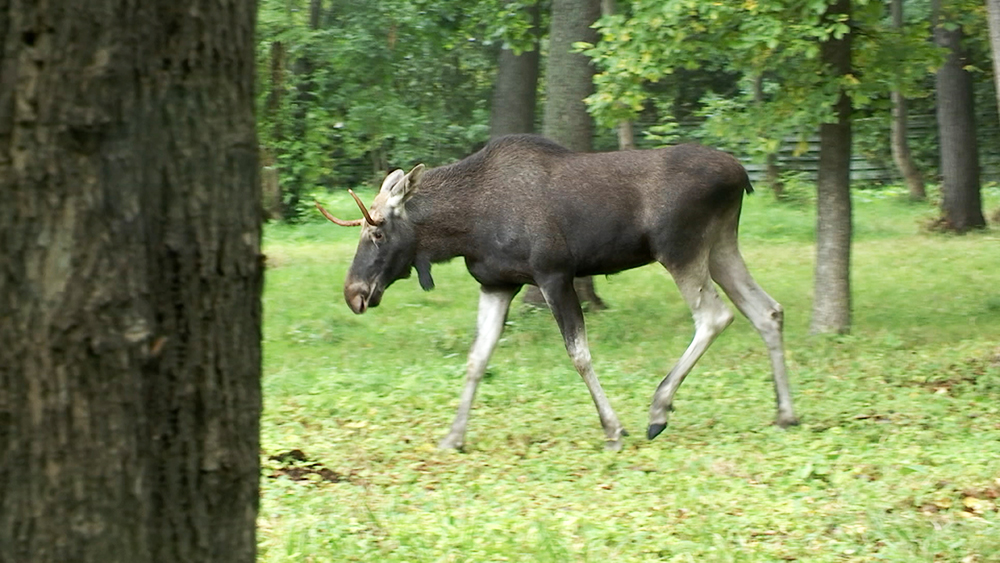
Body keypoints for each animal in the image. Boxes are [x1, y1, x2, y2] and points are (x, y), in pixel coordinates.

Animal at [316, 137, 800, 454]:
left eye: (377, 232)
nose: (353, 293)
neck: (463, 230)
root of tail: (741, 176)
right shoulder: (497, 283)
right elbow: (476, 360)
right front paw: (453, 437)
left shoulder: (553, 274)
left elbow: (579, 355)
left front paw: (613, 429)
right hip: (719, 245)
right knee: (767, 310)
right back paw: (785, 413)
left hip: (680, 249)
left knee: (714, 316)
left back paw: (659, 409)